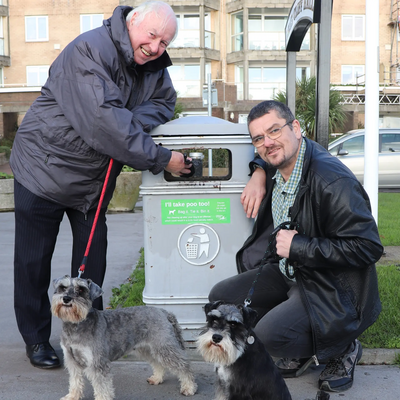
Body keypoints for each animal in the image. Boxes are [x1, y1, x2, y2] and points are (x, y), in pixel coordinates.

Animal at [50, 276, 198, 400]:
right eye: (62, 287)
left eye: (81, 289)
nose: (66, 298)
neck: (76, 325)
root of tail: (164, 312)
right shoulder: (72, 361)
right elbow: (75, 381)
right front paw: (72, 396)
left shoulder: (98, 363)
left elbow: (102, 387)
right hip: (148, 349)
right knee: (158, 363)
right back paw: (156, 378)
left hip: (164, 347)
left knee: (184, 366)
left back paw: (189, 387)